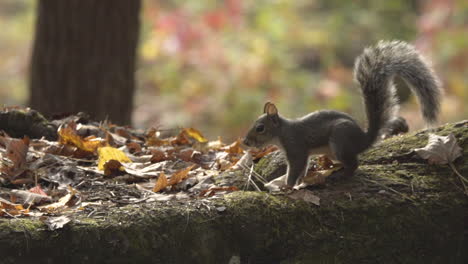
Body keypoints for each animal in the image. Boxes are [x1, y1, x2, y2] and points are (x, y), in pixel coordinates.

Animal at [243, 40, 440, 187]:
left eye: (260, 128)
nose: (245, 142)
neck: (282, 132)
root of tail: (363, 140)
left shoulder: (296, 148)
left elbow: (296, 168)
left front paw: (287, 186)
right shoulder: (302, 154)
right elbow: (302, 169)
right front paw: (298, 183)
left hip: (340, 140)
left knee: (354, 164)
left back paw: (342, 175)